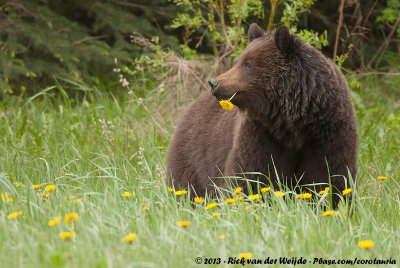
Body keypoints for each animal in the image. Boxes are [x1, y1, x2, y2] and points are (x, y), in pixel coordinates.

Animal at [164, 24, 358, 207]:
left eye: (247, 64)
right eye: (240, 60)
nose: (214, 83)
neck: (291, 121)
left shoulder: (327, 132)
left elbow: (329, 176)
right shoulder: (261, 134)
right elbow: (250, 174)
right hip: (195, 155)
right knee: (187, 185)